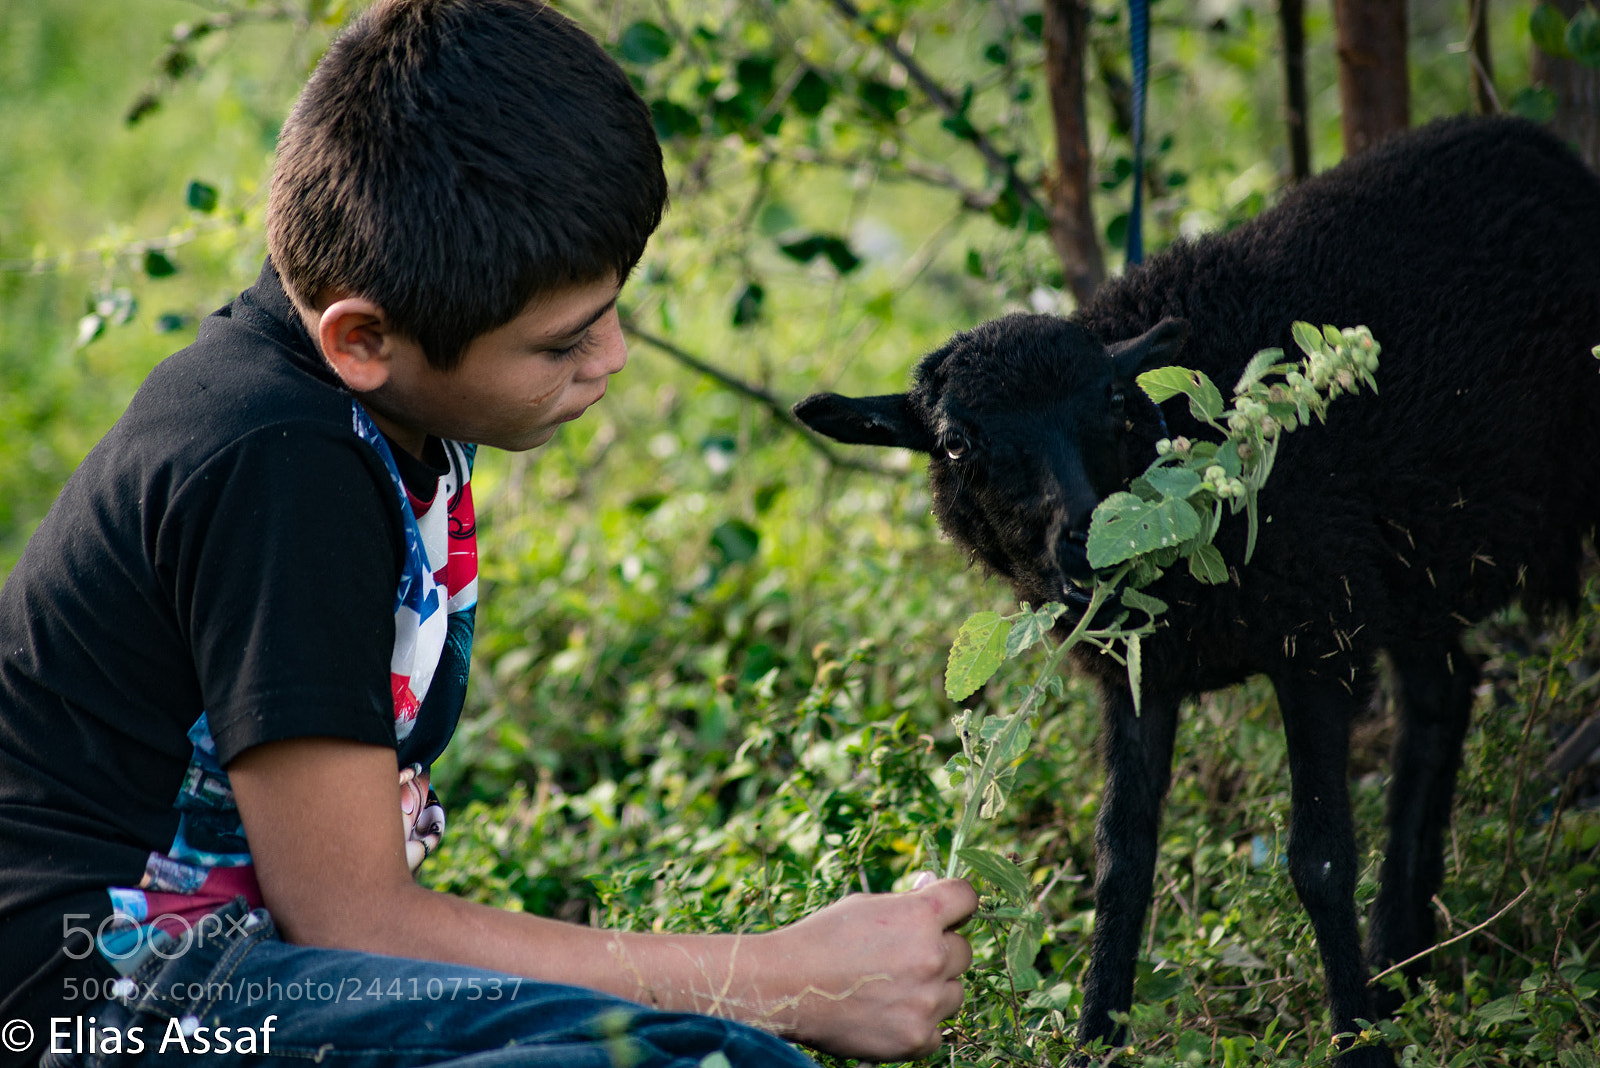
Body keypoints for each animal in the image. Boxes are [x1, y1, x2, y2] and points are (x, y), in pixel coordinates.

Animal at [792, 115, 1600, 1065]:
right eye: (956, 443)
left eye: (1115, 400)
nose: (1087, 542)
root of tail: (1539, 146)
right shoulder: (1142, 670)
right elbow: (1122, 861)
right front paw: (1096, 1036)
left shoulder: (1314, 632)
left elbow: (1319, 859)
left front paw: (1356, 1040)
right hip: (1412, 563)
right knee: (1442, 701)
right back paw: (1402, 958)